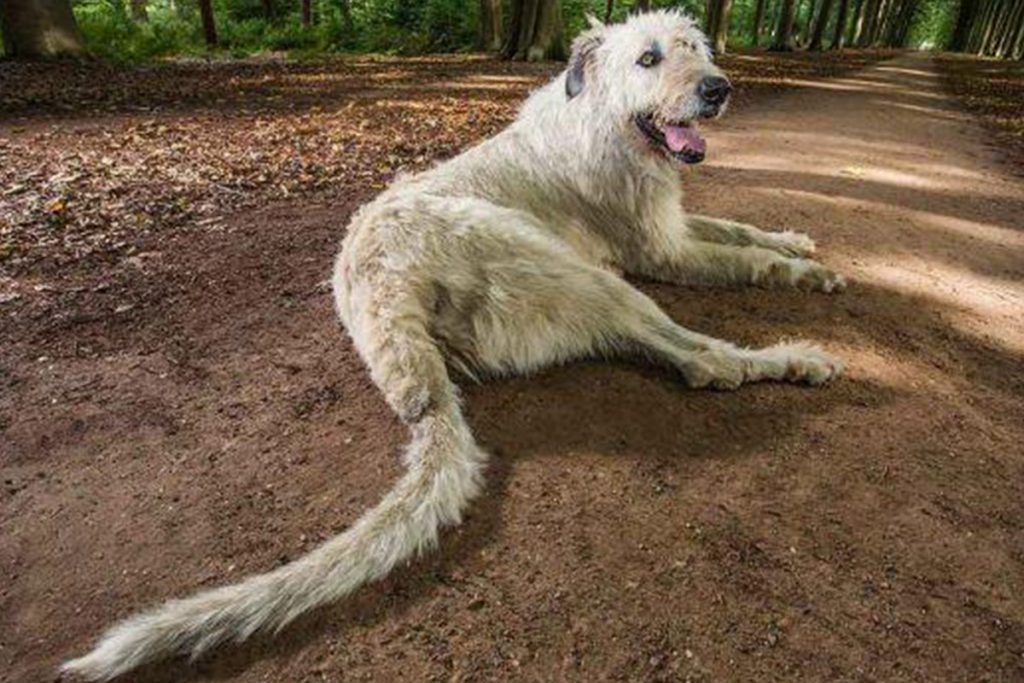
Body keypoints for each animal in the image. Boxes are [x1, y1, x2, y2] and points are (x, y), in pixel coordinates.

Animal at [66, 9, 847, 679]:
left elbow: (737, 229)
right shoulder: (662, 251)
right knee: (701, 360)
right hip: (574, 270)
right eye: (648, 58)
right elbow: (743, 258)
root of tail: (386, 305)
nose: (718, 88)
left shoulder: (675, 225)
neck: (601, 119)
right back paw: (794, 357)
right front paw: (807, 272)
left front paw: (793, 239)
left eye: (695, 48)